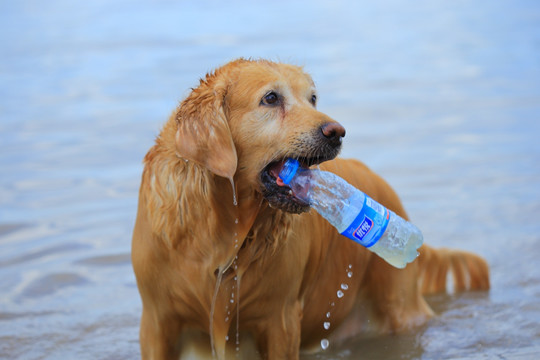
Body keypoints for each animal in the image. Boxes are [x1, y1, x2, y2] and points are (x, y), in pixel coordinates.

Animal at [132, 57, 490, 358]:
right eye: (271, 98)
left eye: (313, 98)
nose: (337, 132)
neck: (223, 232)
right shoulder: (156, 321)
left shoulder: (280, 319)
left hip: (400, 306)